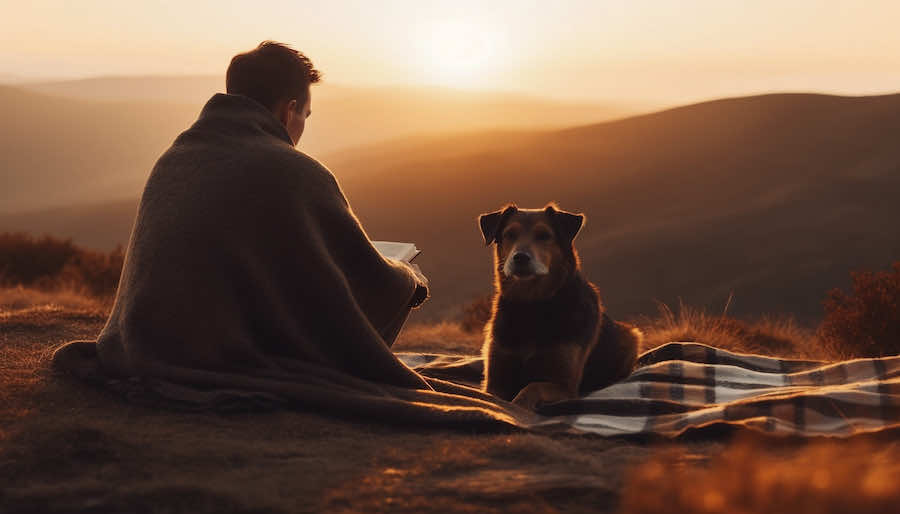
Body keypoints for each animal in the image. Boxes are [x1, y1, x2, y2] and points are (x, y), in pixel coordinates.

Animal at [478, 203, 640, 408]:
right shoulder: (496, 378)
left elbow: (532, 388)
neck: (531, 306)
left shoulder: (565, 386)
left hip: (632, 335)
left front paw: (519, 403)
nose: (520, 257)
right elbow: (492, 397)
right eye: (510, 234)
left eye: (544, 235)